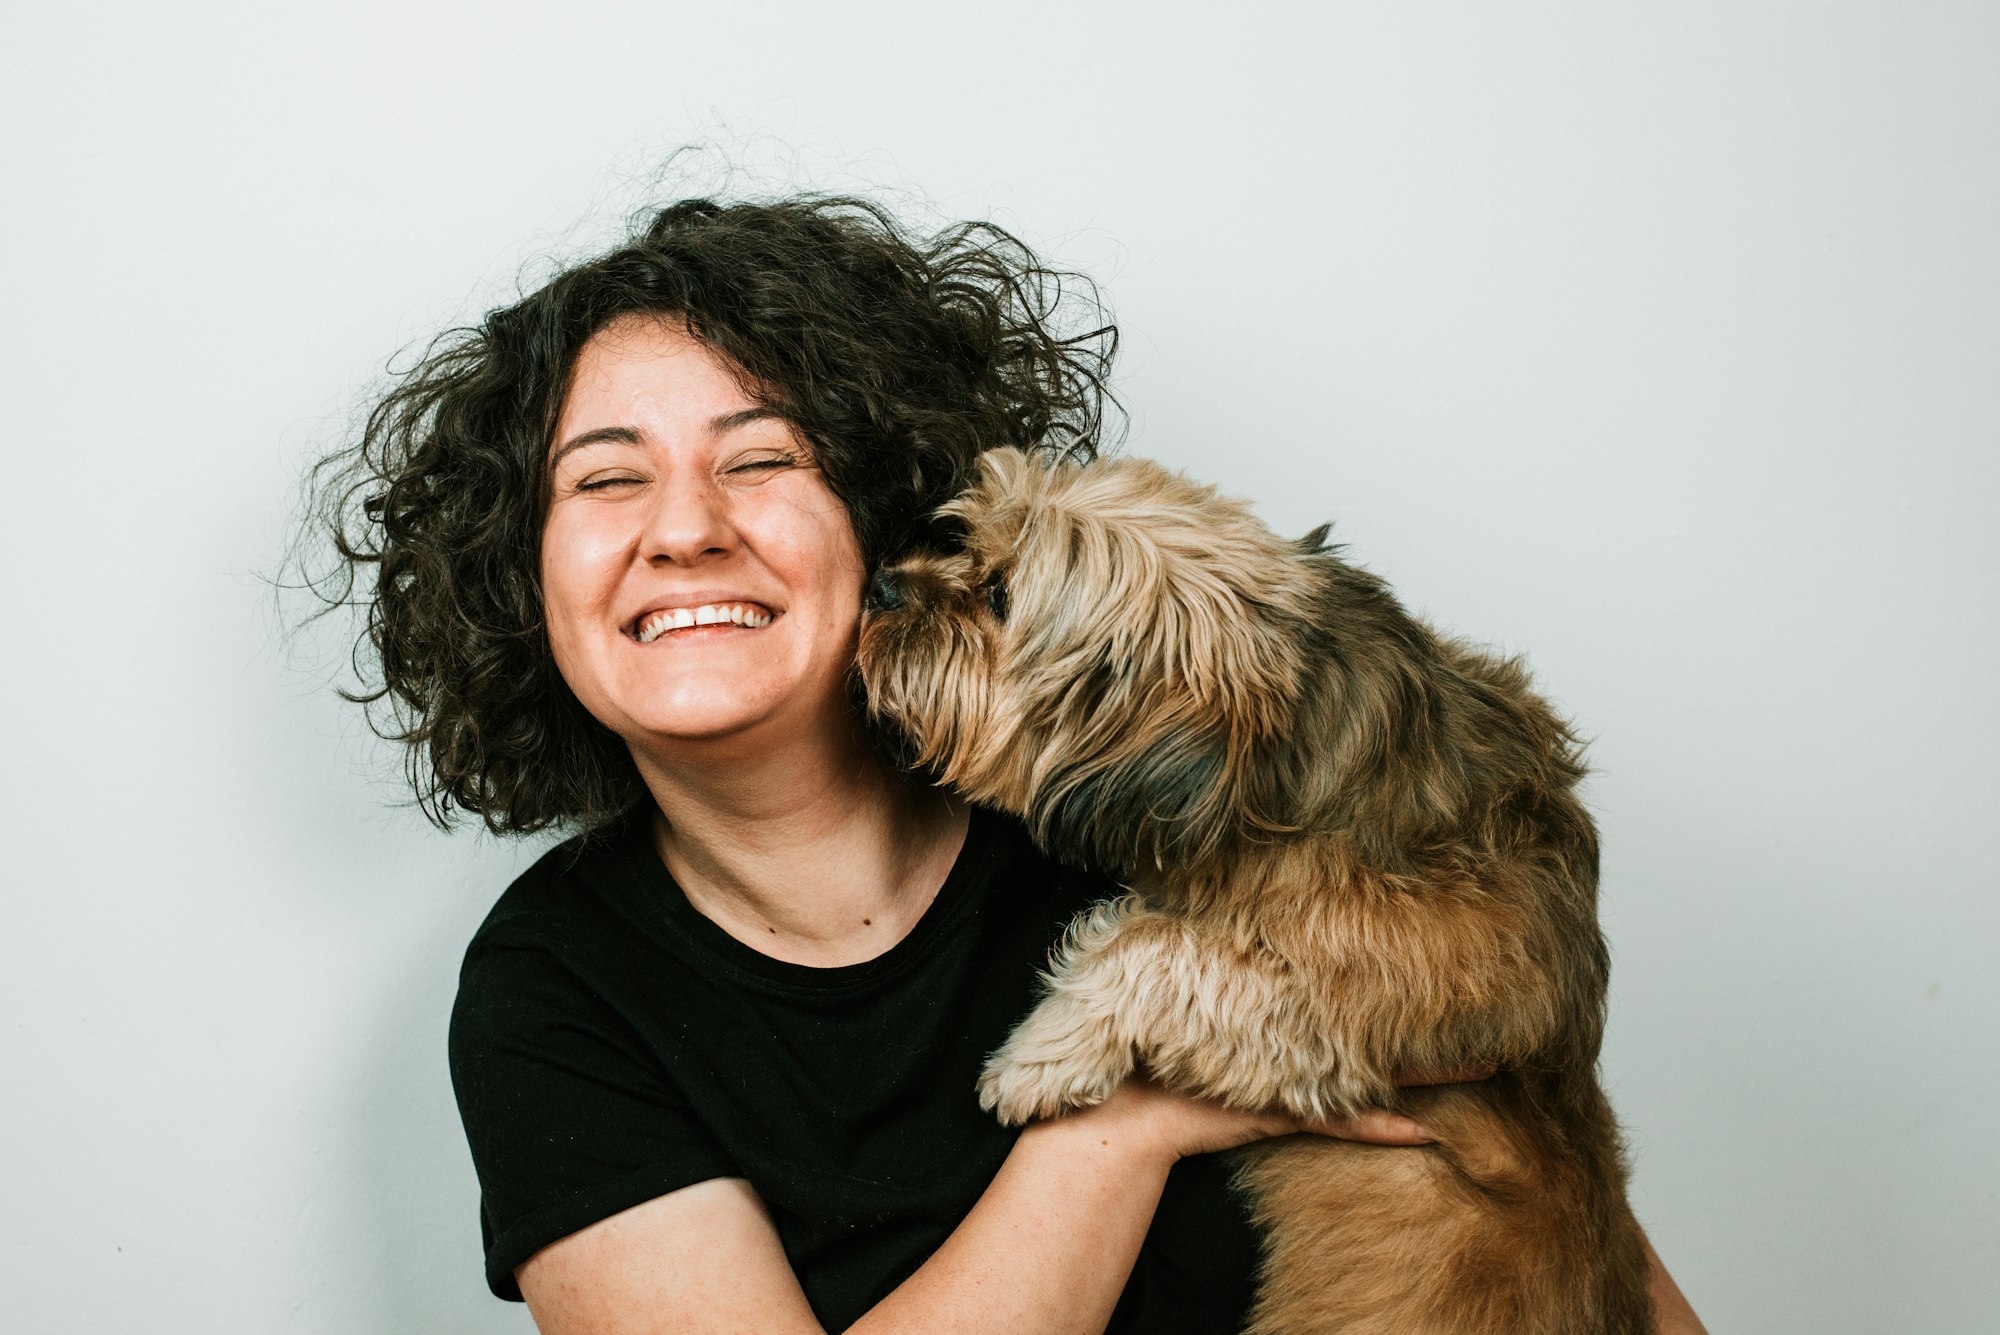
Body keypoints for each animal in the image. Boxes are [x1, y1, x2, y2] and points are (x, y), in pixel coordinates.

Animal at [852, 447, 1648, 1335]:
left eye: (1000, 595)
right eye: (963, 539)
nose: (882, 584)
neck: (1279, 768)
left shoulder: (1372, 993)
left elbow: (1156, 945)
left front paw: (1040, 1054)